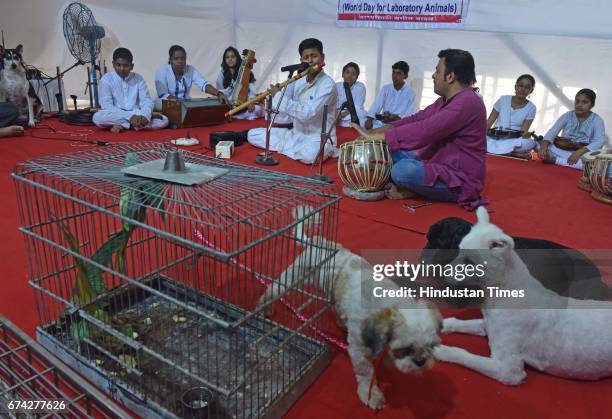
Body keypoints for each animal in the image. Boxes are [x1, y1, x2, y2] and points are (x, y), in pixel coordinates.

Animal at [256, 207, 440, 410]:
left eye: (431, 346)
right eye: (406, 348)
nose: (421, 361)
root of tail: (316, 242)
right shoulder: (358, 347)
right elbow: (366, 373)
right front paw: (371, 394)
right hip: (291, 278)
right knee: (272, 291)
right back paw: (264, 309)